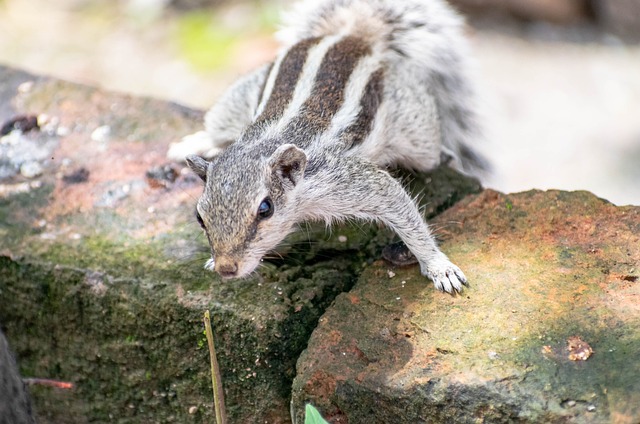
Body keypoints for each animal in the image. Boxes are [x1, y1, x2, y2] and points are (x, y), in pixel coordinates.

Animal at [168, 0, 488, 294]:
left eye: (265, 209)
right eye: (199, 216)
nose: (226, 268)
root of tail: (350, 35)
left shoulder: (350, 180)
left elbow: (404, 211)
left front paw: (438, 266)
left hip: (416, 124)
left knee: (428, 153)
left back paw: (445, 155)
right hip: (237, 98)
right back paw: (196, 142)